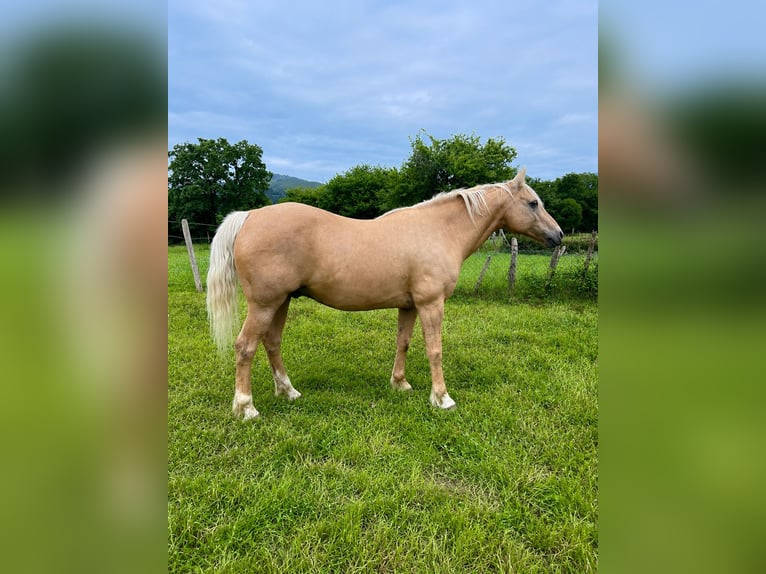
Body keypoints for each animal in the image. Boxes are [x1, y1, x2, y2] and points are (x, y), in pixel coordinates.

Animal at [206, 167, 563, 419]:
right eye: (533, 203)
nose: (558, 235)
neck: (439, 230)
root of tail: (249, 217)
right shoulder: (432, 304)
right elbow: (434, 350)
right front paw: (442, 398)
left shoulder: (410, 305)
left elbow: (403, 342)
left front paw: (400, 383)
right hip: (264, 304)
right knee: (245, 347)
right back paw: (246, 408)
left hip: (281, 302)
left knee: (272, 343)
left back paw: (288, 391)